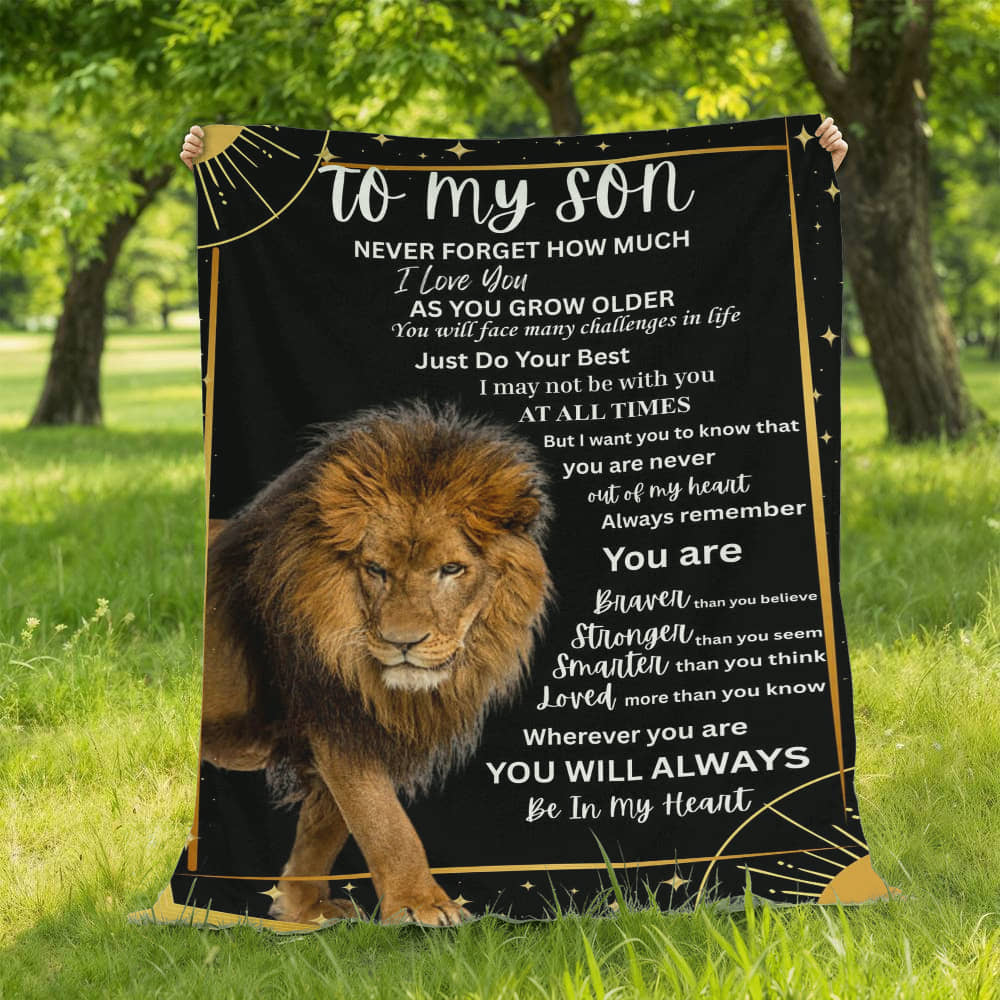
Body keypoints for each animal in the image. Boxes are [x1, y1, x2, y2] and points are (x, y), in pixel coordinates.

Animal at [199, 402, 552, 926]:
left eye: (451, 569)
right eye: (376, 569)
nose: (402, 643)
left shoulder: (356, 726)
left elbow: (324, 826)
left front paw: (306, 911)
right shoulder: (335, 716)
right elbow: (384, 821)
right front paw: (423, 907)